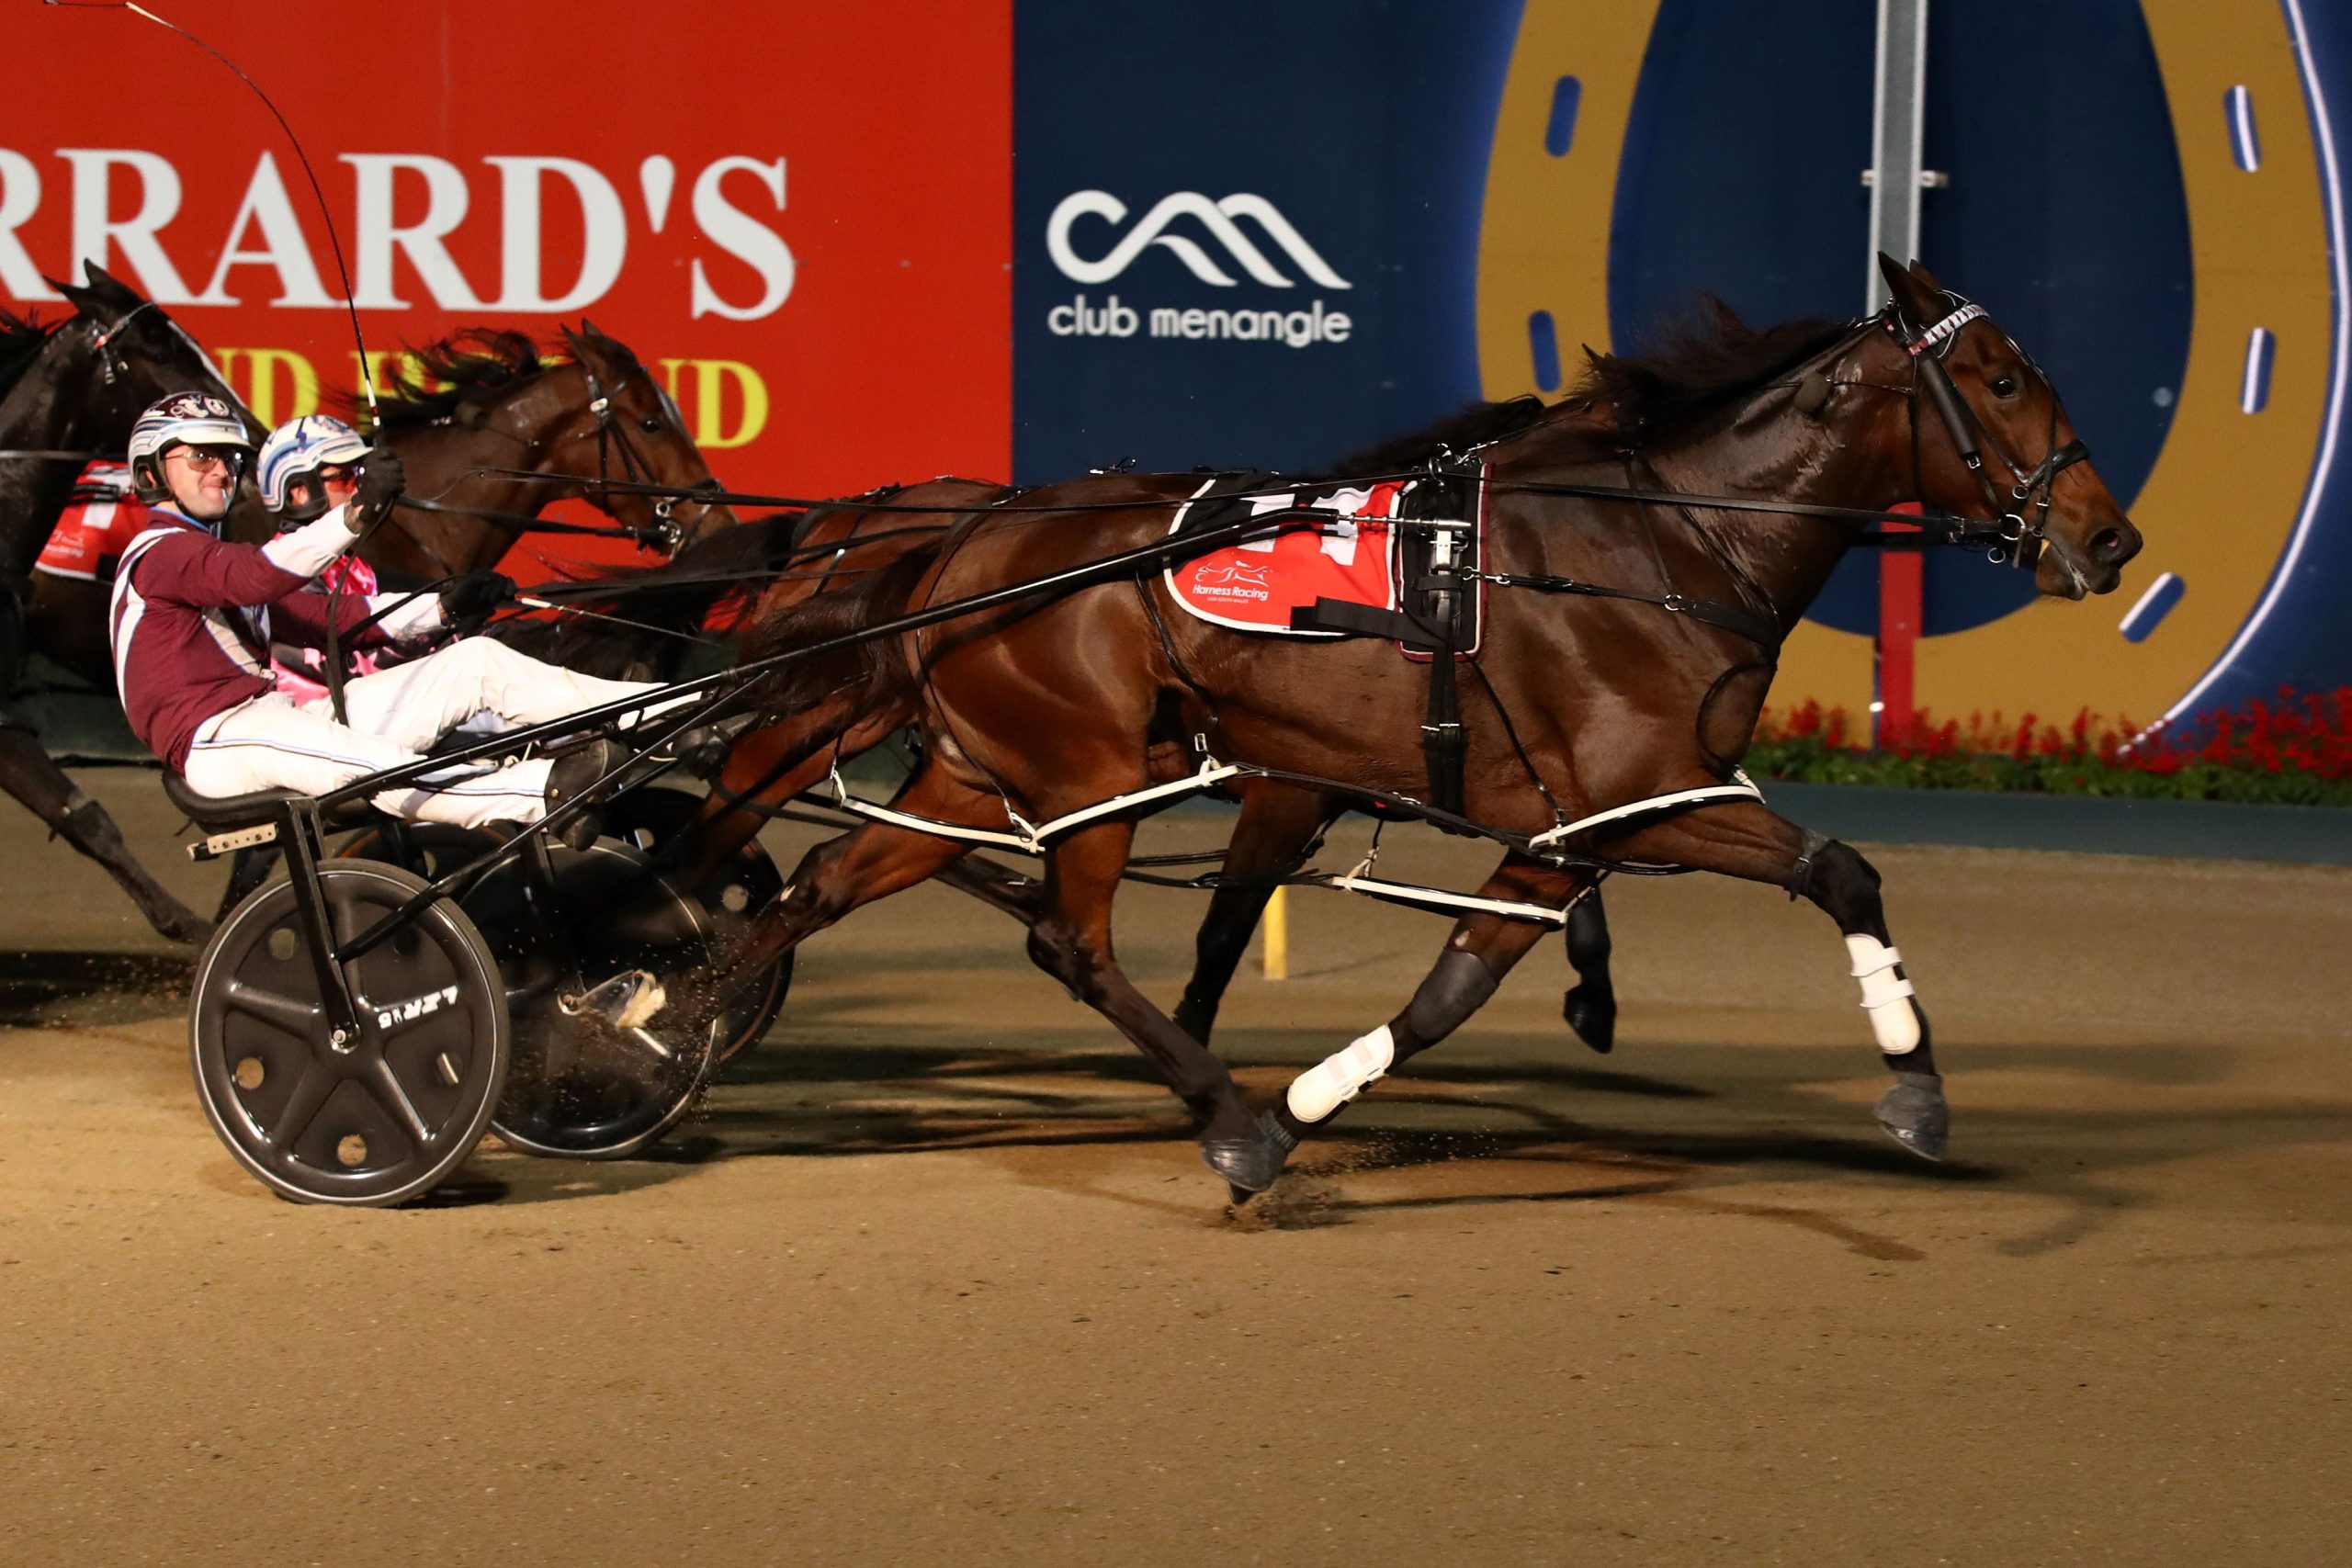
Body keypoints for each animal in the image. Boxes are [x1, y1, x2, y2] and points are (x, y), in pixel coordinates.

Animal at [661, 257, 2141, 1195]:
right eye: (2000, 380)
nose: (2109, 536)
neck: (1657, 544)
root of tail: (964, 539)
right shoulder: (1653, 793)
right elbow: (1844, 870)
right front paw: (1915, 1087)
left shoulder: (1573, 826)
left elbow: (1450, 990)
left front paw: (1320, 1095)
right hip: (1084, 770)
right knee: (1064, 941)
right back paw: (1227, 1121)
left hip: (985, 772)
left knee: (815, 884)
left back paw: (666, 1025)